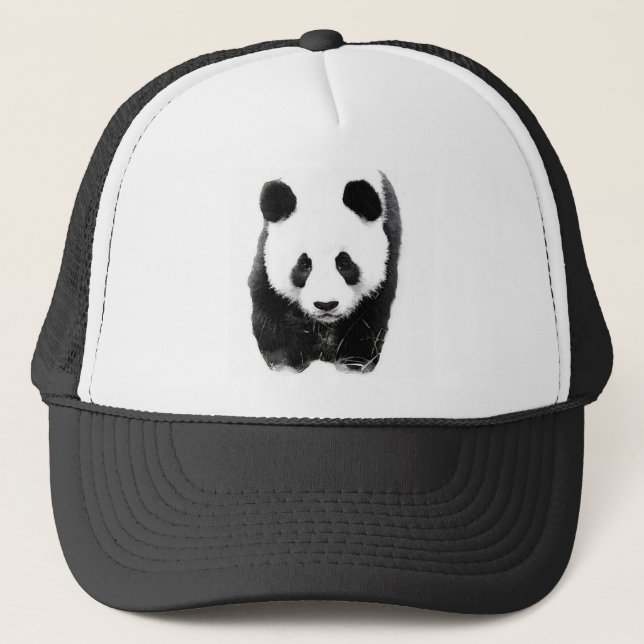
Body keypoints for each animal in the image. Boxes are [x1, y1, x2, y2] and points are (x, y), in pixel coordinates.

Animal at [248, 171, 401, 373]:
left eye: (344, 262)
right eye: (304, 264)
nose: (326, 305)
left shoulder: (387, 260)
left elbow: (366, 325)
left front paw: (351, 363)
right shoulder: (266, 263)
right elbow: (272, 320)